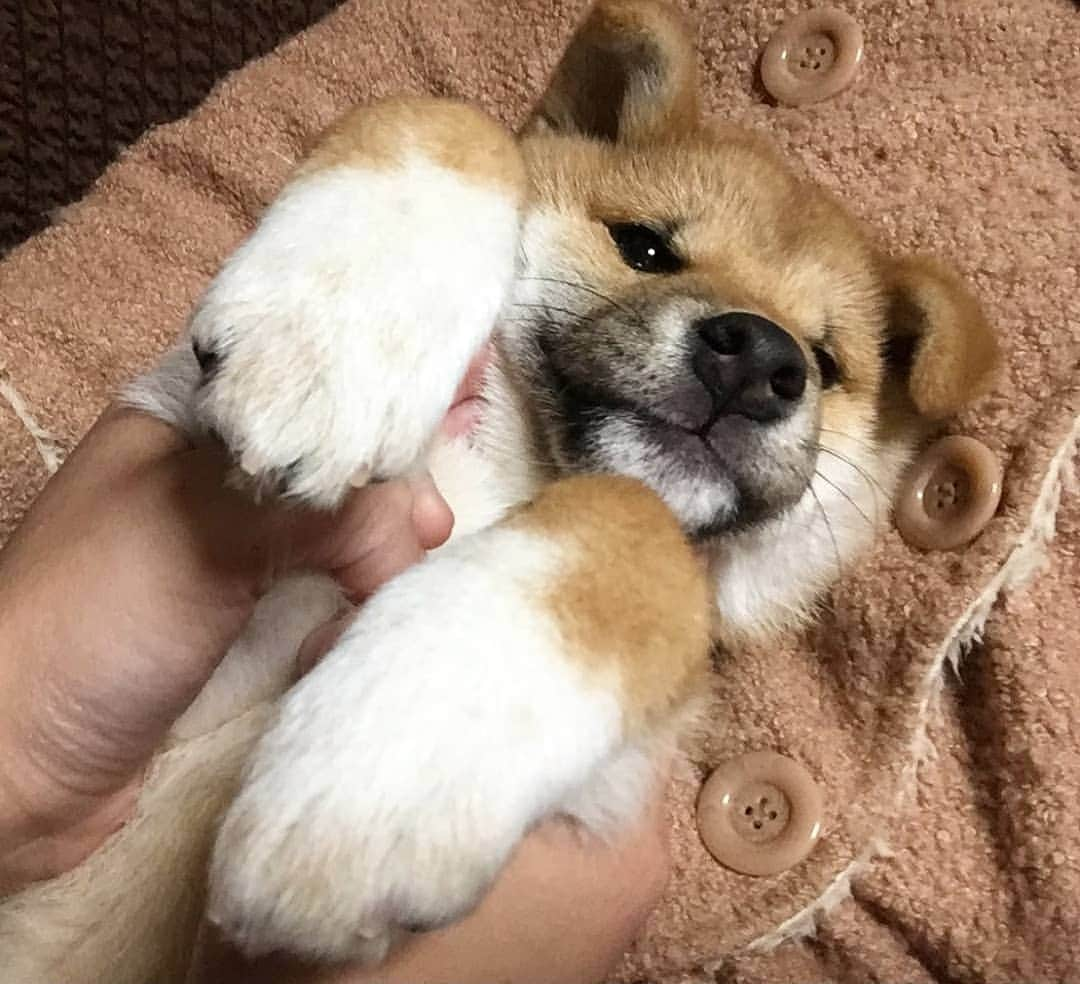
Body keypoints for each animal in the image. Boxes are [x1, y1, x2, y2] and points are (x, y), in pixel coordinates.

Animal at [0, 1, 997, 984]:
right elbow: (461, 122)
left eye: (826, 364)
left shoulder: (608, 784)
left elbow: (632, 515)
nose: (761, 358)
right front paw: (326, 346)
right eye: (644, 246)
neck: (522, 470)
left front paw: (370, 776)